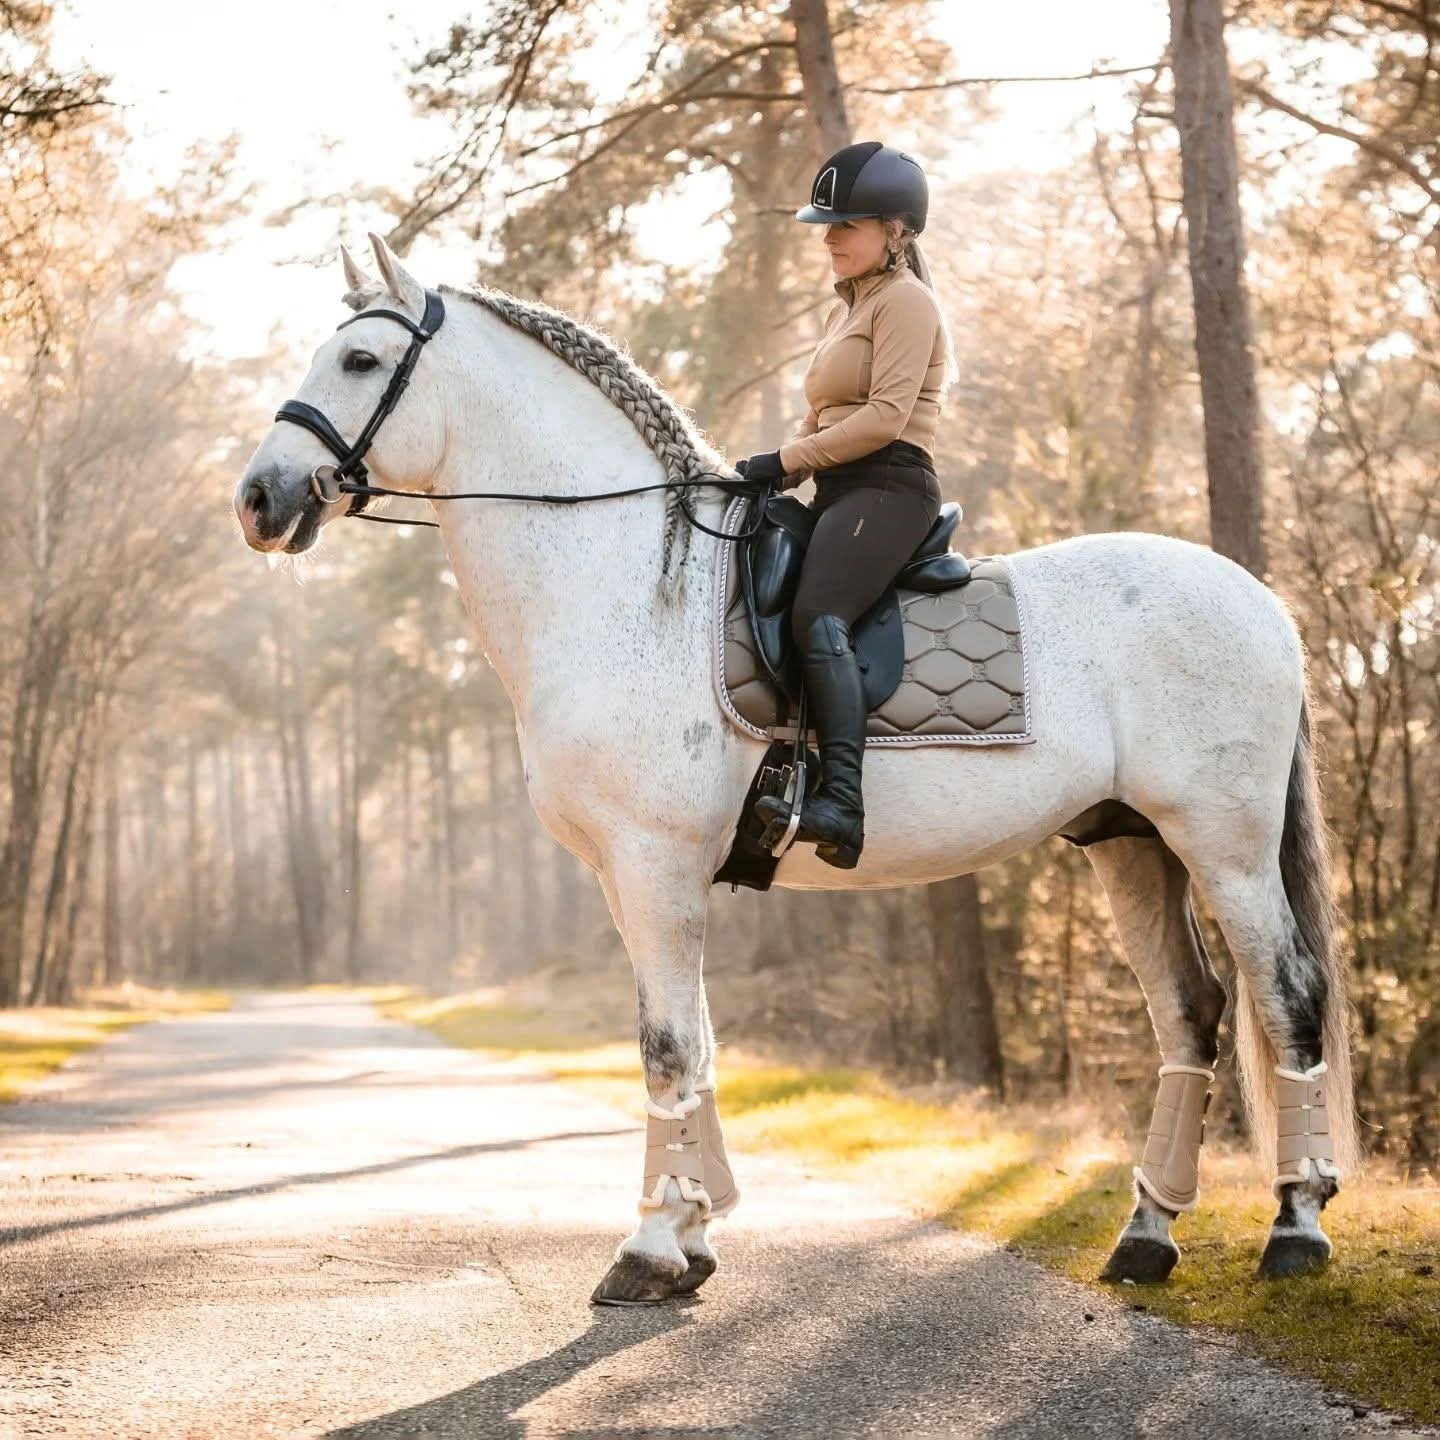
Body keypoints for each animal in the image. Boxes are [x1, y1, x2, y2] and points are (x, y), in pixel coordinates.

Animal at [234, 233, 1357, 1305]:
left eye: (360, 359)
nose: (258, 499)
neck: (628, 587)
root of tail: (1262, 600)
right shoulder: (631, 876)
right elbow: (695, 1044)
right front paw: (694, 1234)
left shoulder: (655, 863)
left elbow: (667, 1047)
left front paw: (651, 1249)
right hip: (1130, 843)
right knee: (1192, 1014)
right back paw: (1147, 1236)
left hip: (1225, 843)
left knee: (1287, 995)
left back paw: (1295, 1231)